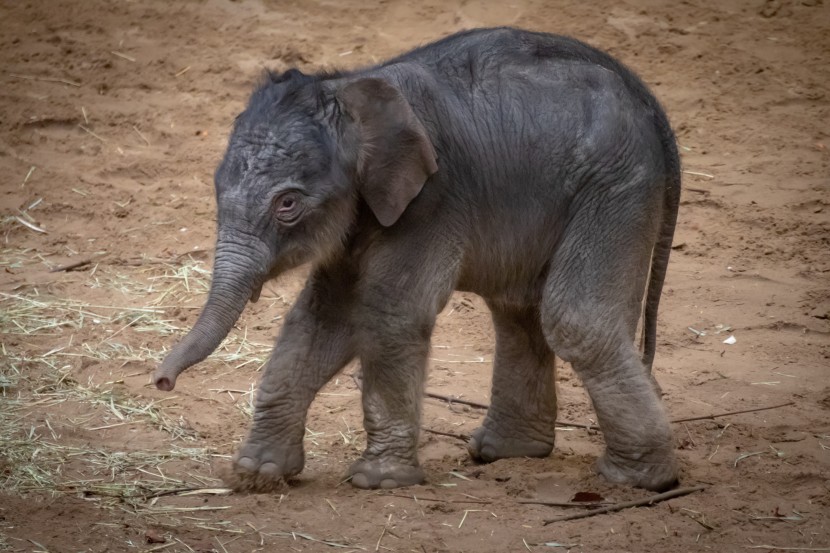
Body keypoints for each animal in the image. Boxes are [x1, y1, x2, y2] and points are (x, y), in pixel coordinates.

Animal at [154, 27, 684, 492]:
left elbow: (391, 314)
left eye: (287, 204)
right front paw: (257, 475)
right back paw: (507, 454)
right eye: (216, 187)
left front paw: (378, 481)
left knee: (574, 319)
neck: (352, 87)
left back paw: (639, 480)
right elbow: (322, 318)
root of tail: (649, 102)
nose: (161, 381)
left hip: (616, 185)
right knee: (519, 309)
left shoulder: (434, 198)